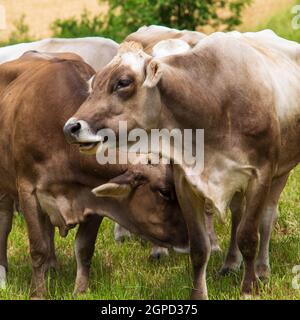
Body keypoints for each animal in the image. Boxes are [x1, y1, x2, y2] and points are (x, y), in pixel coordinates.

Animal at [65, 30, 300, 300]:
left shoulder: (260, 175)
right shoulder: (186, 182)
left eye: (123, 82)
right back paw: (231, 263)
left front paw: (249, 289)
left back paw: (262, 270)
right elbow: (199, 247)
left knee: (266, 220)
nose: (71, 127)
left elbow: (249, 236)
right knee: (237, 214)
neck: (213, 103)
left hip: (280, 173)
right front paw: (199, 294)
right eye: (93, 84)